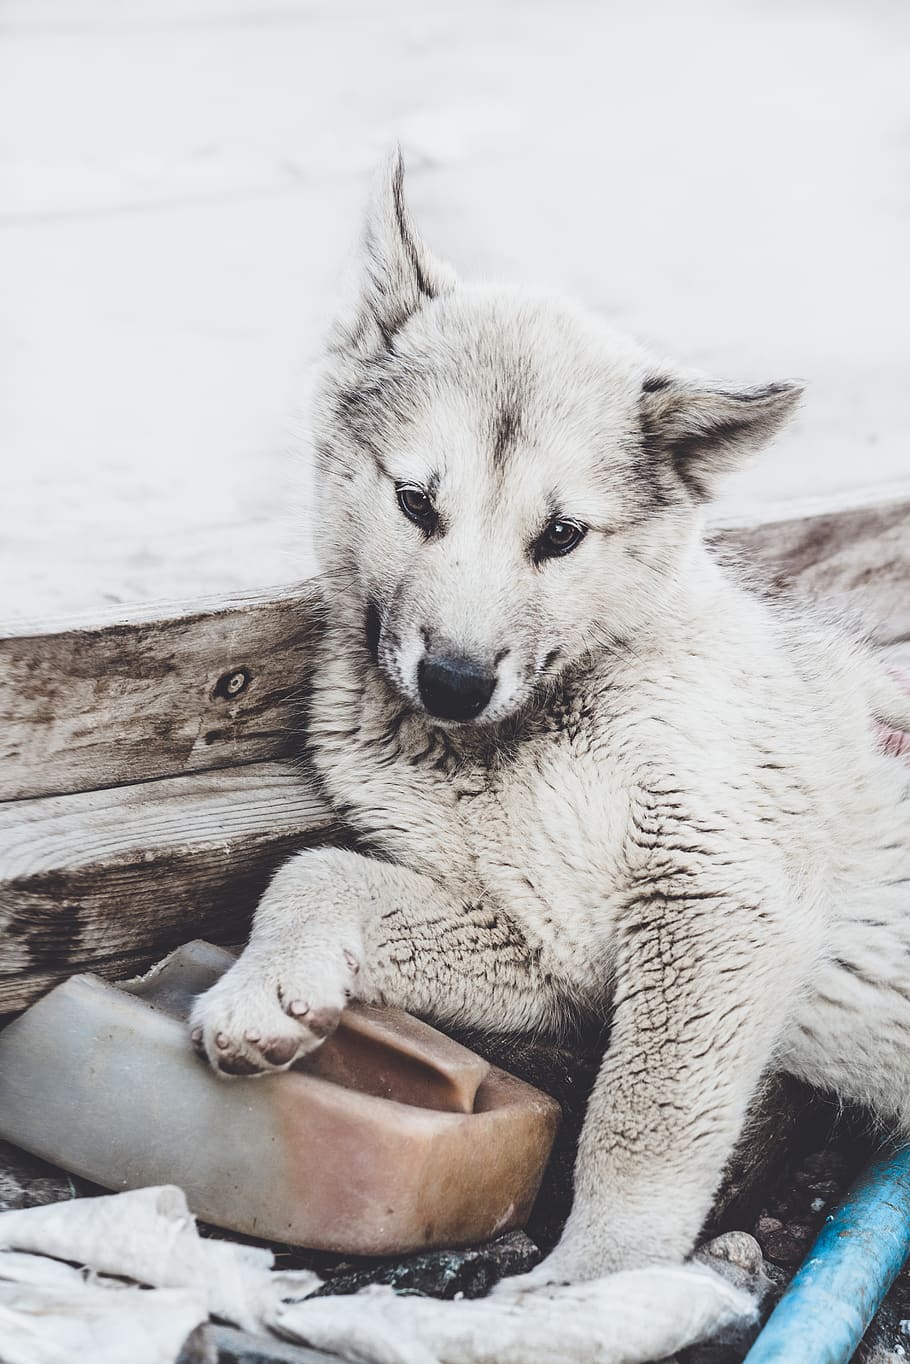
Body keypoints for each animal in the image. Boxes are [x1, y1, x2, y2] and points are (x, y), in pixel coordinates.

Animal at [191, 151, 910, 1289]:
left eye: (561, 535)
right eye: (415, 501)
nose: (451, 681)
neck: (523, 736)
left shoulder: (719, 894)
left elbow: (640, 1118)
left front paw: (593, 1279)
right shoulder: (545, 951)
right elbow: (313, 870)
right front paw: (272, 990)